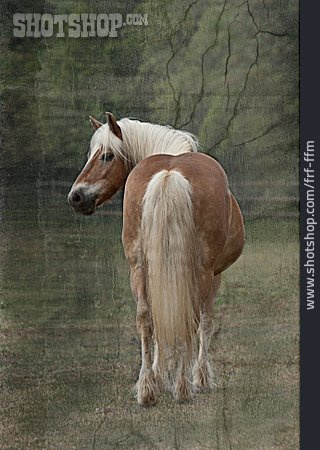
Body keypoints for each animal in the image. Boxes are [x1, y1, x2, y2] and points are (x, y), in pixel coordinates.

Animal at [67, 112, 242, 408]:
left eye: (106, 156)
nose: (76, 197)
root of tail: (170, 174)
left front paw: (159, 378)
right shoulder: (214, 275)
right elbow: (205, 322)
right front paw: (201, 378)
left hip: (139, 267)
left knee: (146, 317)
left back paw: (147, 389)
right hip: (200, 272)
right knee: (189, 319)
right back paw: (183, 387)